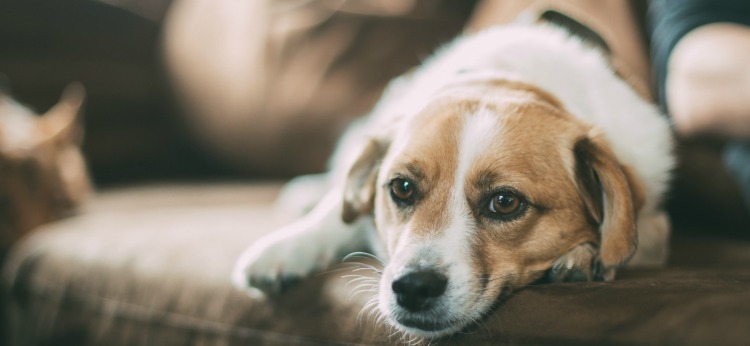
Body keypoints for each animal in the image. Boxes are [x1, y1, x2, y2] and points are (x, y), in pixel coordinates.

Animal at [231, 23, 676, 340]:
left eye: (505, 202)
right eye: (401, 188)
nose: (412, 287)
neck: (508, 79)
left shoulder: (653, 221)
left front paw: (584, 255)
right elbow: (336, 213)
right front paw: (287, 247)